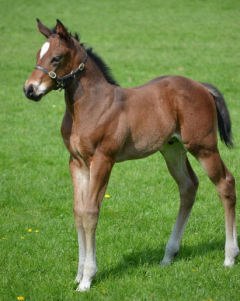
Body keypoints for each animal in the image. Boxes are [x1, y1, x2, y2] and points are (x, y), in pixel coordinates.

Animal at [23, 19, 238, 290]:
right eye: (37, 55)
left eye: (56, 58)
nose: (29, 90)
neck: (92, 106)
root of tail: (202, 86)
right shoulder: (77, 163)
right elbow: (78, 212)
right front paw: (78, 274)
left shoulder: (103, 160)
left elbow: (91, 212)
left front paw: (88, 278)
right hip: (172, 147)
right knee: (189, 186)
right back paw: (168, 256)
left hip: (203, 146)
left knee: (225, 183)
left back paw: (229, 257)